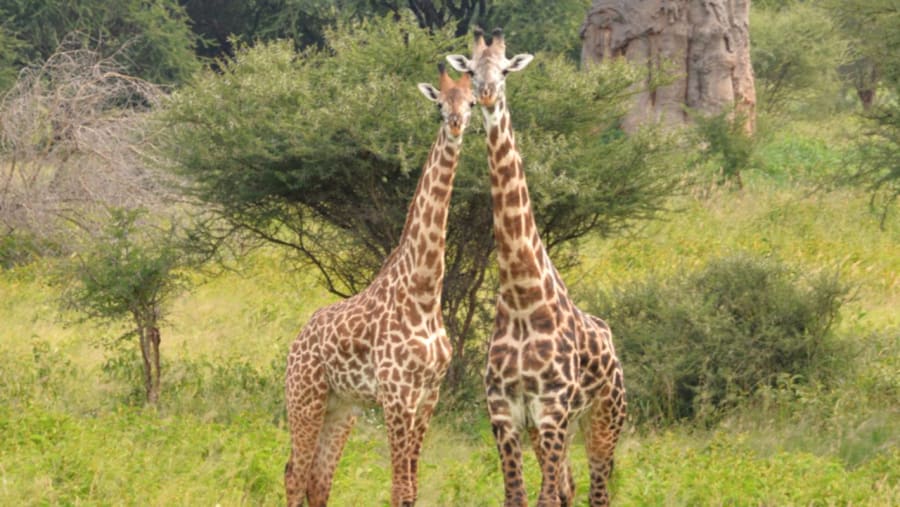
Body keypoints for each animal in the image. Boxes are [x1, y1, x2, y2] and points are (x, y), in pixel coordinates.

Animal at [283, 64, 475, 507]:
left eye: (472, 102)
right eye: (439, 105)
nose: (457, 124)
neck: (424, 292)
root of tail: (296, 343)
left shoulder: (428, 395)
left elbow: (412, 488)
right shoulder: (397, 393)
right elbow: (399, 488)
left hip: (342, 408)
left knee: (318, 480)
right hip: (305, 399)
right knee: (294, 475)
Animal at [448, 28, 627, 507]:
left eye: (506, 69)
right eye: (471, 70)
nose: (485, 95)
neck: (523, 297)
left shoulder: (552, 409)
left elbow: (543, 498)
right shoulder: (505, 413)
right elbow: (517, 497)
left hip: (604, 418)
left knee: (597, 491)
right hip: (558, 428)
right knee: (569, 487)